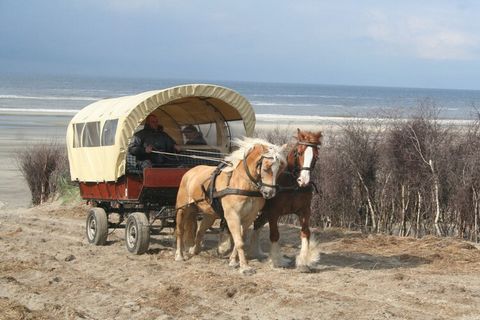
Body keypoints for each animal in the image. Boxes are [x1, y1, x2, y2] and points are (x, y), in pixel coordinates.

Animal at [174, 138, 284, 276]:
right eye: (266, 167)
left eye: (279, 168)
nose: (270, 193)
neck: (242, 183)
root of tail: (190, 172)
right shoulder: (233, 216)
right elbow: (239, 241)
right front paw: (245, 267)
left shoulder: (249, 218)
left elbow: (239, 239)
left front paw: (233, 261)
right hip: (182, 209)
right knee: (180, 231)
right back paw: (179, 255)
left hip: (210, 215)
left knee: (200, 231)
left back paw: (195, 250)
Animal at [248, 129, 322, 272]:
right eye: (299, 153)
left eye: (315, 157)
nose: (304, 181)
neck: (292, 185)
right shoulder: (273, 212)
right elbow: (275, 235)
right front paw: (277, 260)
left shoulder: (305, 211)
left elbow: (305, 232)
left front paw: (304, 262)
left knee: (257, 224)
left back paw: (256, 251)